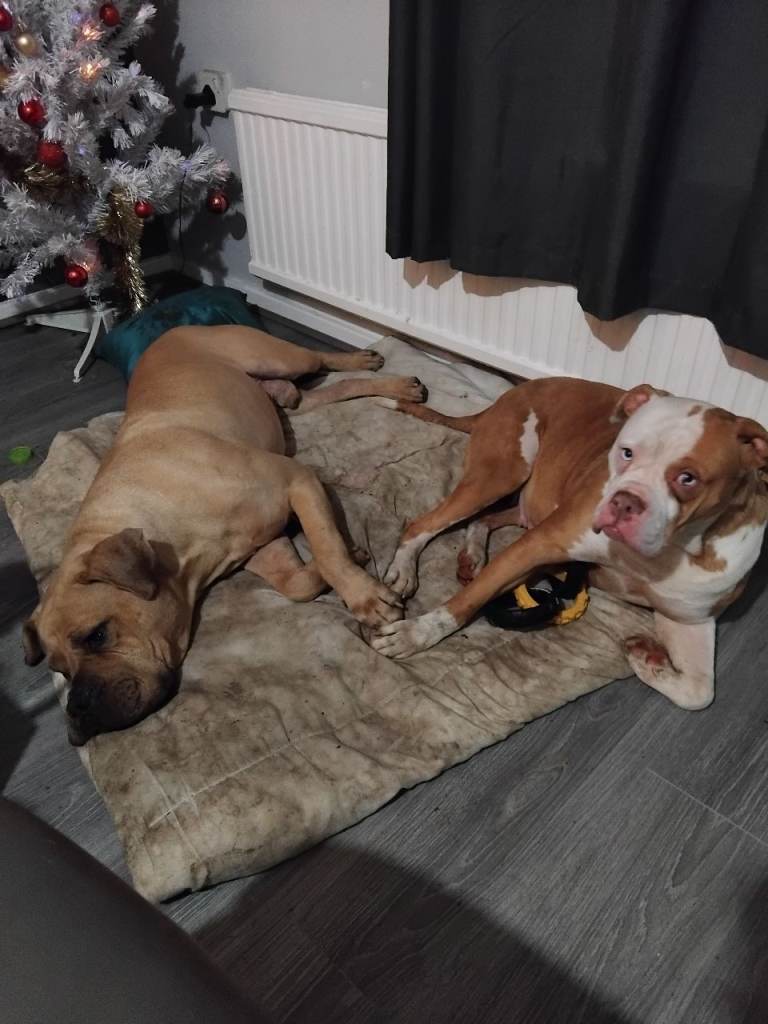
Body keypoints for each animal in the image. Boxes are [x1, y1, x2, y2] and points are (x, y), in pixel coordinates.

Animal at [22, 325, 426, 744]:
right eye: (60, 670)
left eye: (97, 636)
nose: (76, 710)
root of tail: (172, 330)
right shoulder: (263, 545)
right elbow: (297, 582)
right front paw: (351, 559)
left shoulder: (296, 479)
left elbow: (327, 547)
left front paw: (365, 598)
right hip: (287, 404)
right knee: (332, 390)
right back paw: (392, 386)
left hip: (276, 356)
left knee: (320, 358)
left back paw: (374, 366)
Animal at [371, 377, 768, 710]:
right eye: (626, 452)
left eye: (688, 478)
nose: (625, 502)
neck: (668, 549)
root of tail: (515, 392)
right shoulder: (539, 544)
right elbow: (464, 604)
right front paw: (414, 634)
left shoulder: (689, 618)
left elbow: (699, 693)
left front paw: (647, 658)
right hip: (501, 473)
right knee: (425, 524)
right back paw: (404, 570)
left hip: (524, 500)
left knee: (483, 519)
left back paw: (472, 553)